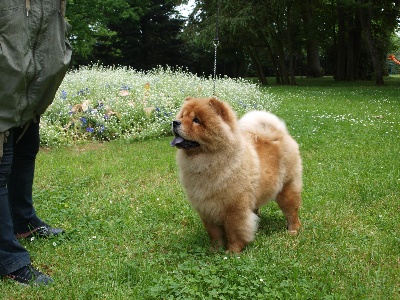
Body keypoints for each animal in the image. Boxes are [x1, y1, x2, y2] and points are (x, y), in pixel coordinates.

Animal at [170, 97, 302, 252]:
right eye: (182, 116)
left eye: (196, 120)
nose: (175, 122)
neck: (207, 162)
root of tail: (280, 134)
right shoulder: (206, 208)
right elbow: (214, 233)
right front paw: (215, 250)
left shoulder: (234, 208)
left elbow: (234, 231)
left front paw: (232, 252)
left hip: (287, 189)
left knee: (292, 212)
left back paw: (293, 231)